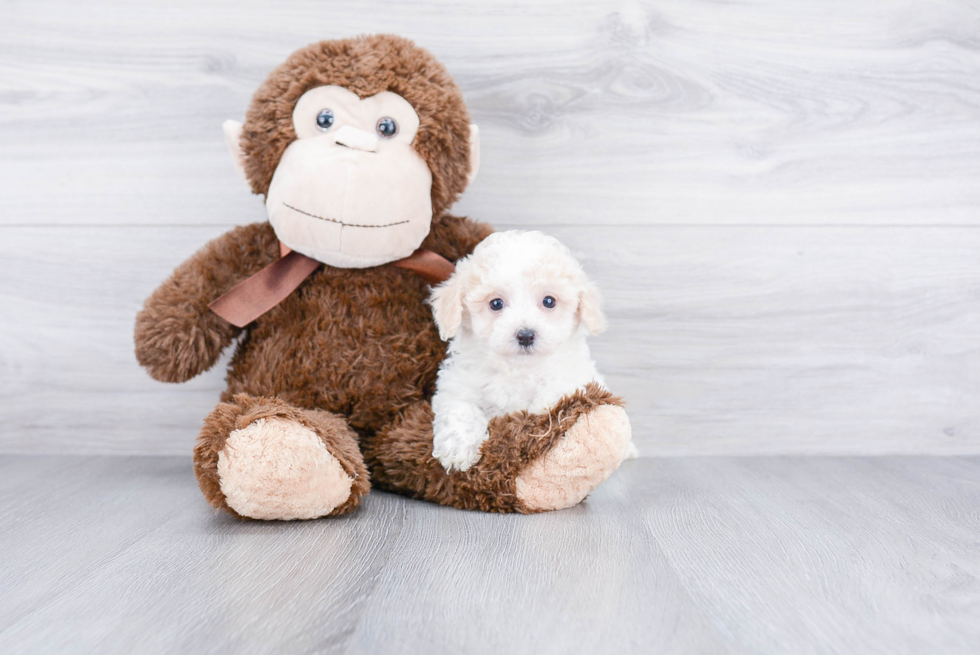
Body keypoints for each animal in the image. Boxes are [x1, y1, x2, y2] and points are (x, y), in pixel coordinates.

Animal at [428, 231, 628, 472]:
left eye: (549, 301)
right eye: (496, 303)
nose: (525, 335)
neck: (519, 370)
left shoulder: (575, 376)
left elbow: (553, 397)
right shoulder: (457, 386)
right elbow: (460, 410)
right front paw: (458, 450)